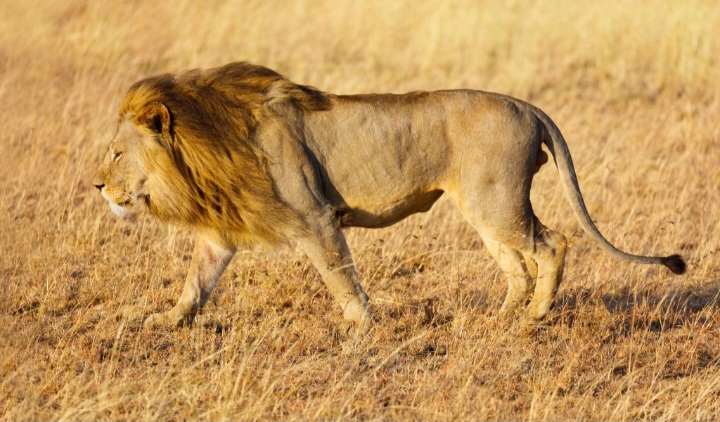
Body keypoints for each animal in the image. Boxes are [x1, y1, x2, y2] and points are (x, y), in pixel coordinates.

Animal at [93, 62, 686, 332]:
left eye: (117, 153)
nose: (96, 186)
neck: (208, 144)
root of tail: (527, 105)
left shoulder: (315, 218)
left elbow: (339, 276)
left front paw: (360, 328)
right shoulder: (221, 234)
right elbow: (196, 283)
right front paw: (165, 321)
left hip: (498, 204)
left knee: (554, 244)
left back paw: (536, 316)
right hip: (485, 209)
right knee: (518, 266)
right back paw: (496, 319)